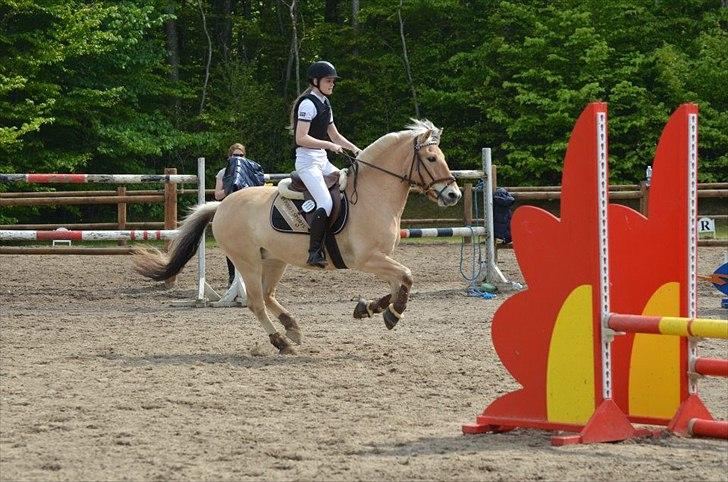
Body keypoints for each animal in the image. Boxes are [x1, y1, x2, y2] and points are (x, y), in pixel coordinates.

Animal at [134, 119, 462, 354]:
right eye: (432, 158)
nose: (453, 195)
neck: (372, 195)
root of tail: (222, 205)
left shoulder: (382, 258)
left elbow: (399, 284)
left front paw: (370, 308)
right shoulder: (368, 259)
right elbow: (406, 277)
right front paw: (392, 314)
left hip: (274, 259)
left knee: (268, 295)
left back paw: (292, 327)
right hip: (248, 261)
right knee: (256, 302)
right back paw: (281, 341)